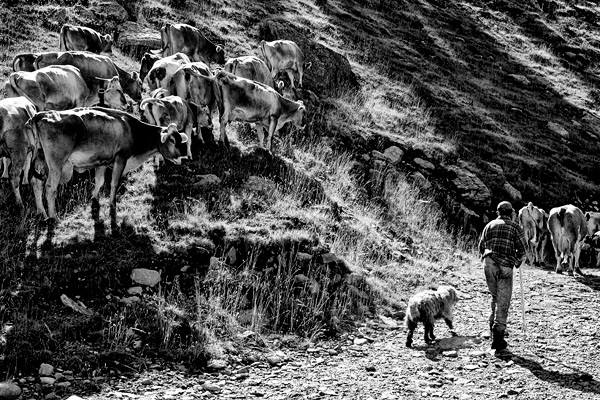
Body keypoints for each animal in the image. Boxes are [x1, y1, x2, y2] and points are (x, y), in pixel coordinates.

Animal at [26, 108, 188, 223]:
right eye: (172, 140)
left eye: (181, 140)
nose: (184, 157)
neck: (132, 130)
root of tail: (40, 114)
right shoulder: (120, 159)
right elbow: (114, 183)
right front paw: (112, 204)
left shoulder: (101, 162)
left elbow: (99, 181)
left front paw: (94, 199)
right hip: (56, 165)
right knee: (50, 188)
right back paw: (53, 217)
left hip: (40, 160)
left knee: (36, 184)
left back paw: (42, 213)